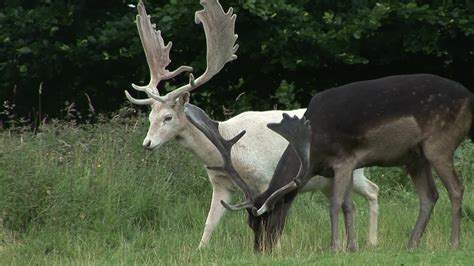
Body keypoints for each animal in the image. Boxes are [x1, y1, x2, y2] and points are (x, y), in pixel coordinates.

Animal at [124, 1, 380, 248]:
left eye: (167, 117)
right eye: (150, 117)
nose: (147, 143)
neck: (227, 150)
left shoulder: (267, 177)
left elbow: (272, 213)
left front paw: (276, 250)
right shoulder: (220, 184)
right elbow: (210, 222)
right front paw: (199, 250)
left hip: (353, 170)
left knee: (373, 190)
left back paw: (372, 241)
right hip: (328, 181)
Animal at [187, 74, 472, 252]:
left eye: (270, 219)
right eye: (250, 224)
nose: (260, 249)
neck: (314, 150)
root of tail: (470, 96)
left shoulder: (345, 159)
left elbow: (336, 205)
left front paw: (335, 247)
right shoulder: (339, 169)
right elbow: (348, 205)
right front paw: (351, 247)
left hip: (439, 145)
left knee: (456, 188)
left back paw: (453, 243)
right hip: (414, 158)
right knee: (429, 195)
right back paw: (411, 245)